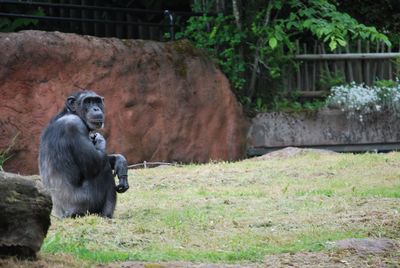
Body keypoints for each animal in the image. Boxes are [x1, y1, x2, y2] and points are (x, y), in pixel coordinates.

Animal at [38, 90, 129, 218]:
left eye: (97, 101)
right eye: (88, 101)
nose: (96, 108)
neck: (70, 113)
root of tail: (61, 215)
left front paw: (120, 162)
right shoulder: (75, 126)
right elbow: (94, 164)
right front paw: (100, 139)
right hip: (83, 205)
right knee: (103, 168)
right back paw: (106, 215)